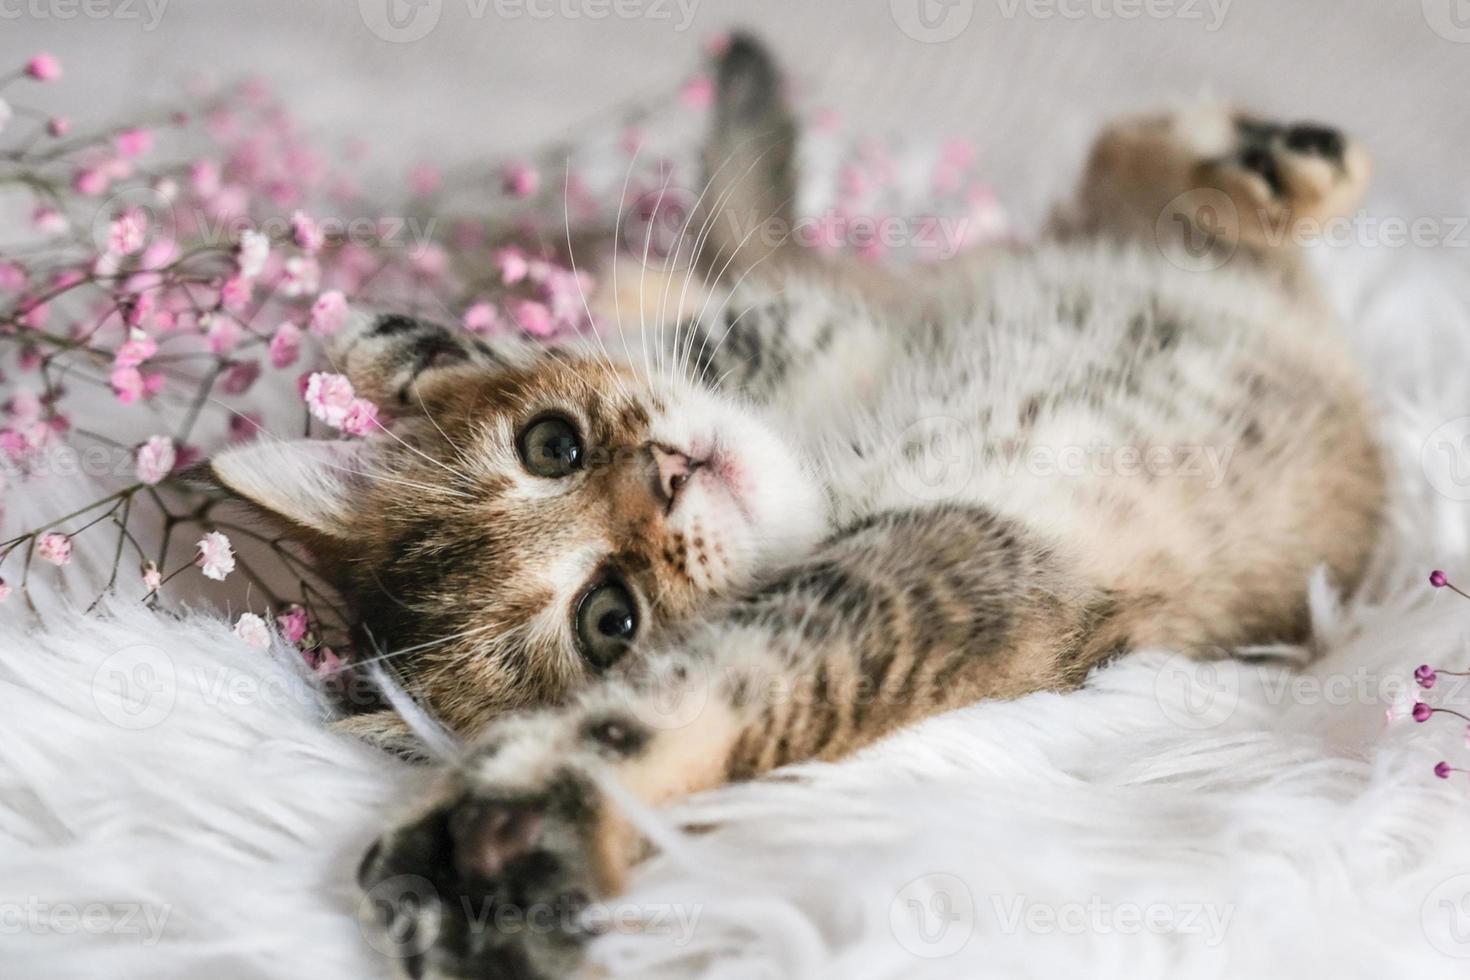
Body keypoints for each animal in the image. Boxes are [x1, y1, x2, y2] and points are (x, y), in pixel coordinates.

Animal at [213, 34, 1381, 975]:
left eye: (552, 445)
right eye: (609, 619)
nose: (668, 473)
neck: (829, 447)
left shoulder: (809, 328)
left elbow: (694, 324)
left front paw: (416, 349)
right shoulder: (960, 572)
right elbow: (700, 694)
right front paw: (500, 847)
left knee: (1141, 183)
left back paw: (1271, 161)